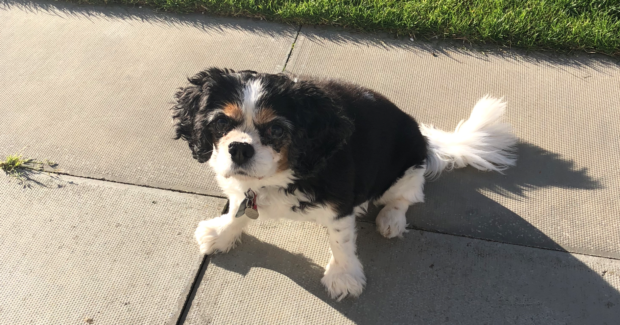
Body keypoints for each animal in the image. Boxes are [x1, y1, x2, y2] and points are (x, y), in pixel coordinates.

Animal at [171, 67, 520, 300]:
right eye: (220, 123)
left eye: (277, 130)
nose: (239, 148)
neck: (279, 176)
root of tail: (425, 140)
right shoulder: (244, 192)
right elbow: (238, 210)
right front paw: (221, 234)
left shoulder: (339, 204)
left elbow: (341, 241)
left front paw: (344, 276)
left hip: (403, 170)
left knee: (407, 197)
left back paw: (391, 219)